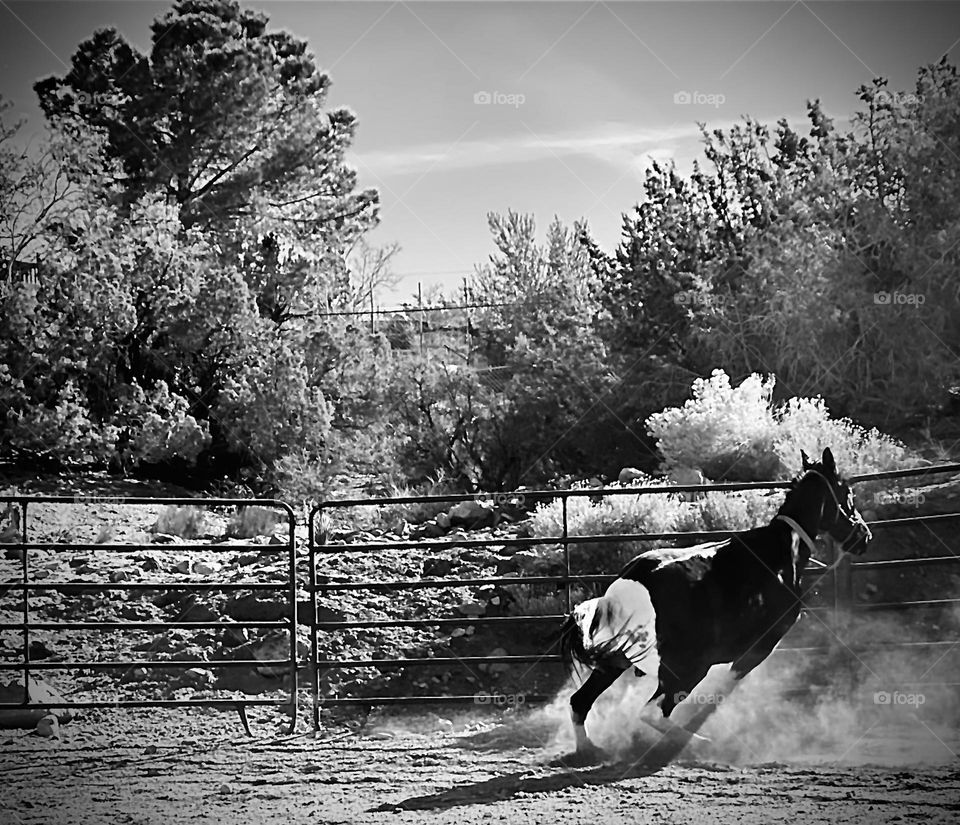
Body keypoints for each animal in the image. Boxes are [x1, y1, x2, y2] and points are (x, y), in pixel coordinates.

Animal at [560, 448, 872, 764]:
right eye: (846, 494)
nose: (864, 536)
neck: (781, 552)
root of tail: (626, 588)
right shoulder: (759, 646)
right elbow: (723, 689)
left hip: (616, 662)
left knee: (580, 703)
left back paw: (589, 750)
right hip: (688, 666)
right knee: (652, 712)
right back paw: (695, 743)